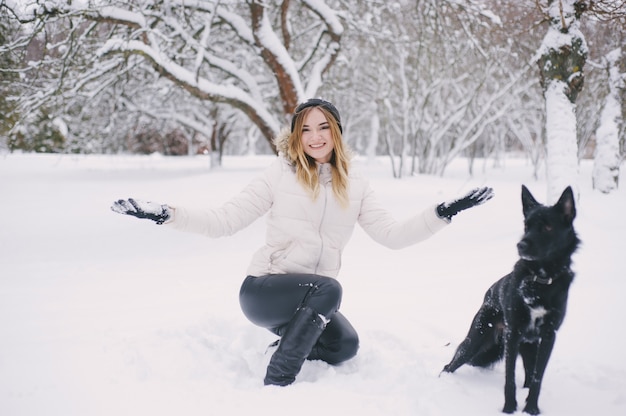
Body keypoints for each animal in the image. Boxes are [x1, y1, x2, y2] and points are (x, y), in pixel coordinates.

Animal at [442, 186, 576, 416]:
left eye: (548, 227)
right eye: (526, 226)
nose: (520, 245)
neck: (540, 280)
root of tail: (488, 293)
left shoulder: (549, 336)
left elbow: (537, 378)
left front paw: (531, 409)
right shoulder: (513, 334)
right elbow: (509, 376)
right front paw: (509, 408)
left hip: (529, 346)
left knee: (529, 376)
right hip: (475, 340)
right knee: (450, 364)